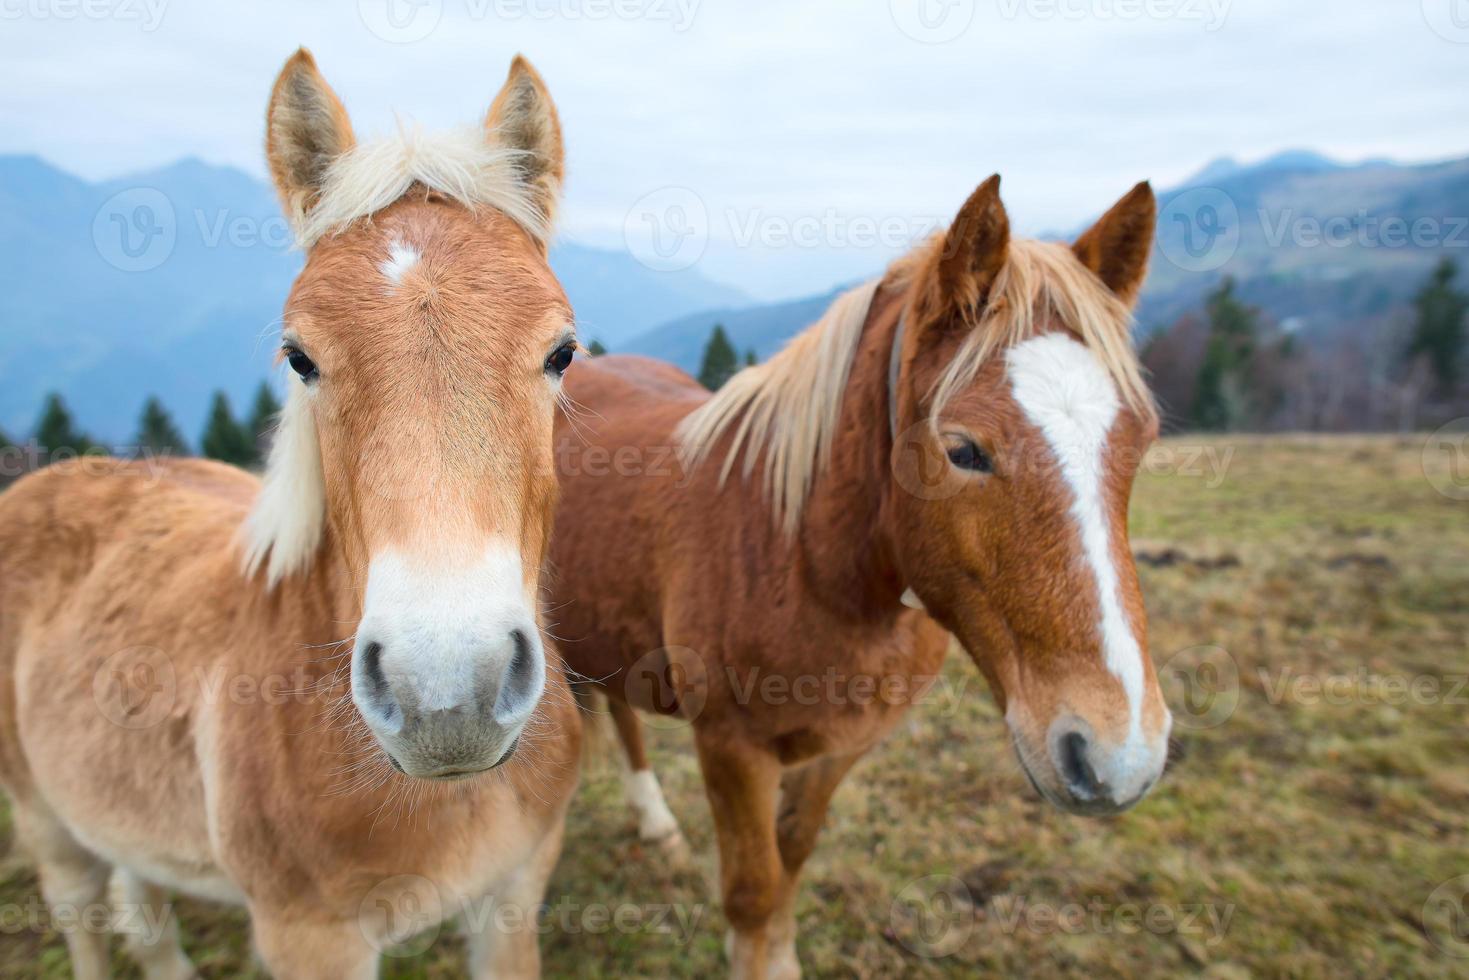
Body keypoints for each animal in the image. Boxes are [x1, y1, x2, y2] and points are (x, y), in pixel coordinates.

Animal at [0, 53, 584, 980]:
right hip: (50, 826)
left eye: (561, 351)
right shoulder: (312, 938)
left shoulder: (513, 898)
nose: (445, 695)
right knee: (86, 920)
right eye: (299, 357)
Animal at [549, 178, 1169, 980]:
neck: (802, 560)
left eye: (1140, 441)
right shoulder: (731, 749)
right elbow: (752, 889)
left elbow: (790, 861)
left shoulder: (839, 749)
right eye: (963, 450)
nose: (1117, 758)